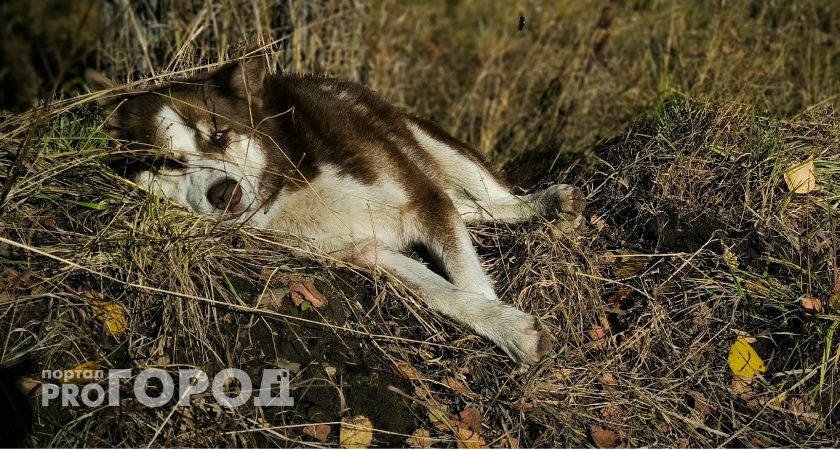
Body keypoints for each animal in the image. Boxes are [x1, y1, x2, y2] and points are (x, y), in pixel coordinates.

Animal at [85, 57, 584, 366]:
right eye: (167, 163)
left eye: (220, 133)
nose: (224, 193)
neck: (290, 182)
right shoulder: (364, 252)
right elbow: (445, 294)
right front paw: (506, 327)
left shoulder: (419, 197)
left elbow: (468, 277)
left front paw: (505, 326)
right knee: (467, 207)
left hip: (433, 148)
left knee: (488, 195)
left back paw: (549, 202)